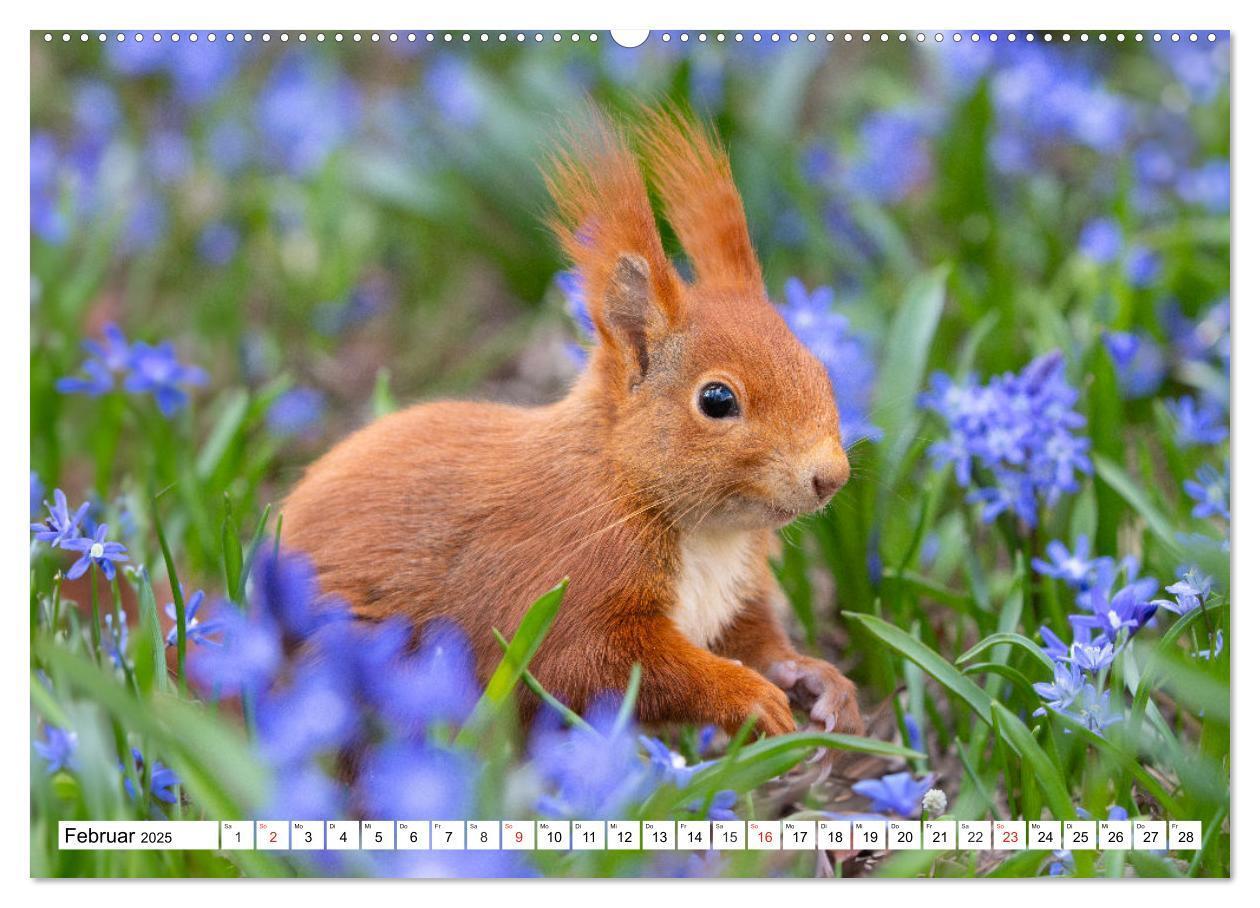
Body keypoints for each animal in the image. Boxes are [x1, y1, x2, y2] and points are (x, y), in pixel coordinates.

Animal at [280, 109, 861, 740]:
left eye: (819, 365)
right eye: (716, 399)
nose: (831, 476)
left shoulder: (734, 594)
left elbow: (754, 641)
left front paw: (816, 677)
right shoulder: (565, 573)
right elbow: (590, 663)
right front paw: (747, 696)